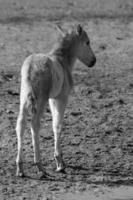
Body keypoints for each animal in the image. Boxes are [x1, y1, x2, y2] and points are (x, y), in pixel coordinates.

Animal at [15, 23, 96, 177]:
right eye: (87, 42)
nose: (93, 61)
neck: (62, 61)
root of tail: (30, 67)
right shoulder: (60, 98)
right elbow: (57, 124)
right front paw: (60, 163)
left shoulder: (52, 99)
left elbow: (54, 124)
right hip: (40, 99)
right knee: (34, 124)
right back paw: (40, 166)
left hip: (24, 98)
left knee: (20, 124)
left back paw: (20, 168)